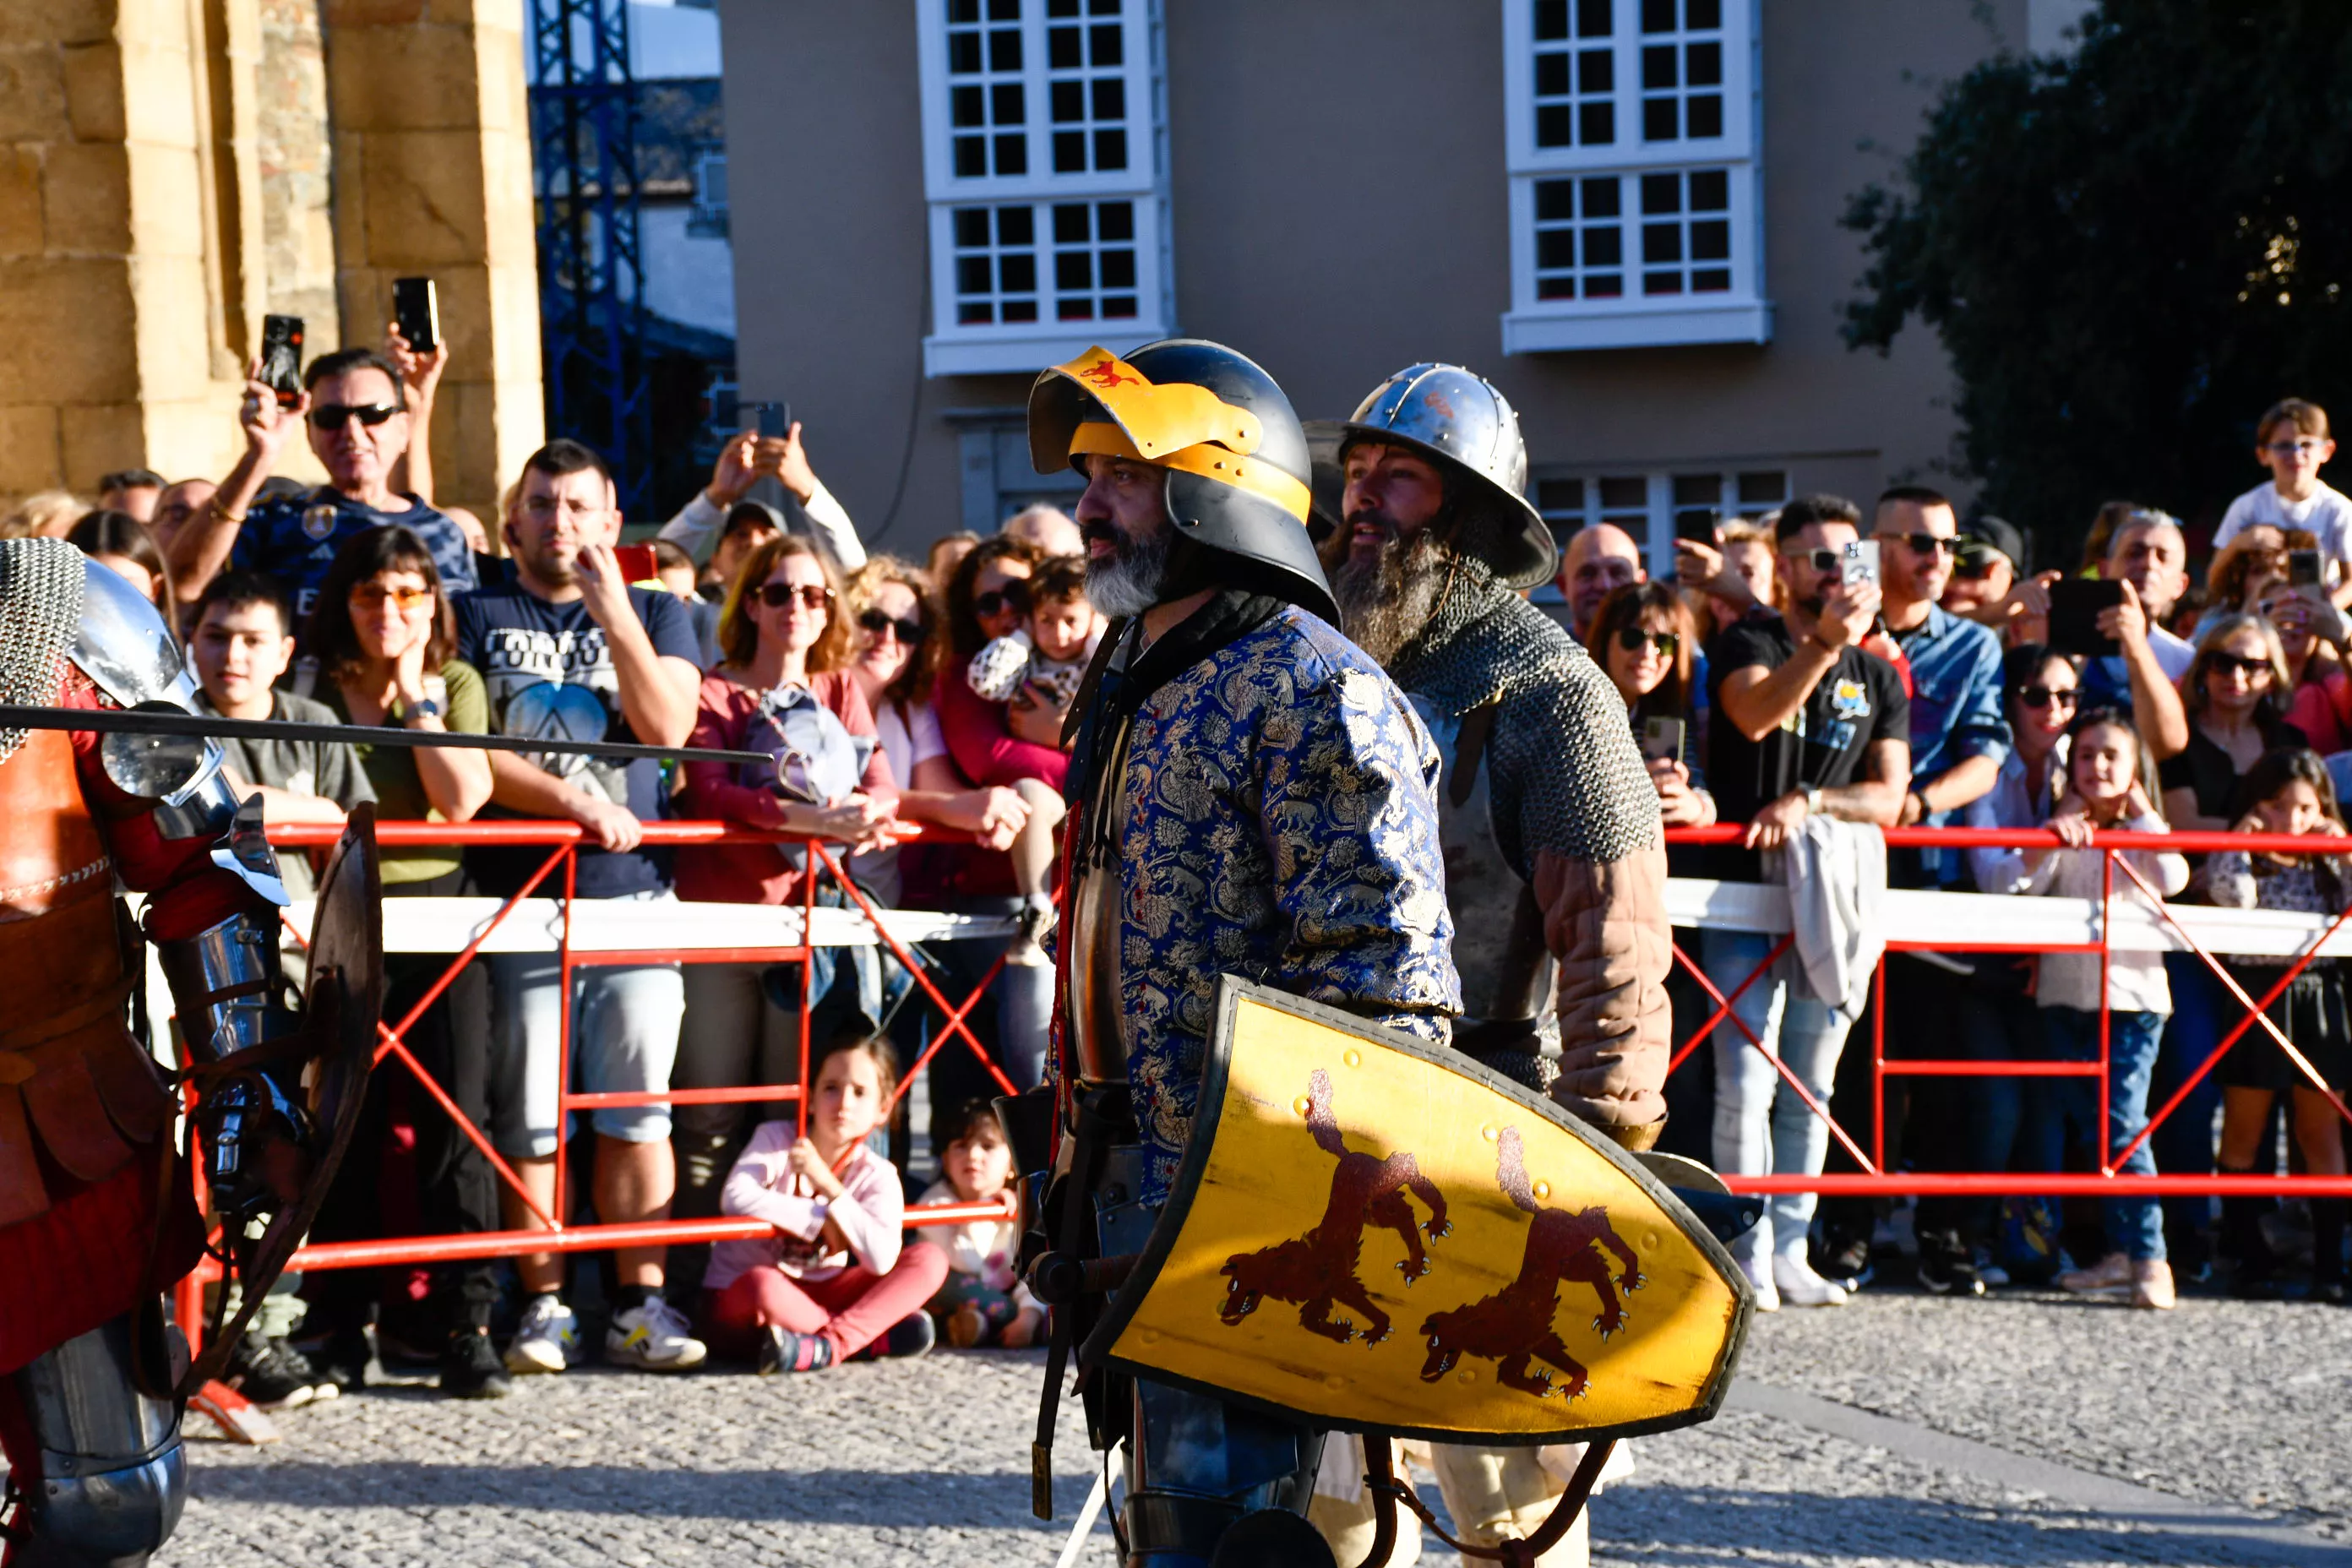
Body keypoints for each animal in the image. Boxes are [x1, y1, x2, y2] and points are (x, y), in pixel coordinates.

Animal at [1213, 1071, 1448, 1344]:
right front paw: (1343, 1332)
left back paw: (1437, 1218)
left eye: (1237, 1286)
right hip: (1376, 1211)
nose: (1224, 1312)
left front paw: (1378, 1329)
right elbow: (1311, 1320)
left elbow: (1366, 1307)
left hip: (1380, 1184)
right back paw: (1415, 1261)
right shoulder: (1323, 1294)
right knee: (1404, 1215)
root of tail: (1348, 1156)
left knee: (1405, 1163)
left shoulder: (1340, 1283)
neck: (1286, 1269)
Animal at [1420, 1128, 1646, 1401]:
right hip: (1569, 1265)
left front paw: (1574, 1383)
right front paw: (1540, 1386)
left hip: (1571, 1239)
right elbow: (1508, 1374)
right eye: (1428, 1346)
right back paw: (1611, 1314)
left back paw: (1630, 1272)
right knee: (1596, 1269)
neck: (1478, 1325)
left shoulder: (1538, 1338)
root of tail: (1540, 1212)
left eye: (1435, 1344)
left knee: (1596, 1218)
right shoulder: (1523, 1348)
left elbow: (1559, 1360)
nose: (1423, 1372)